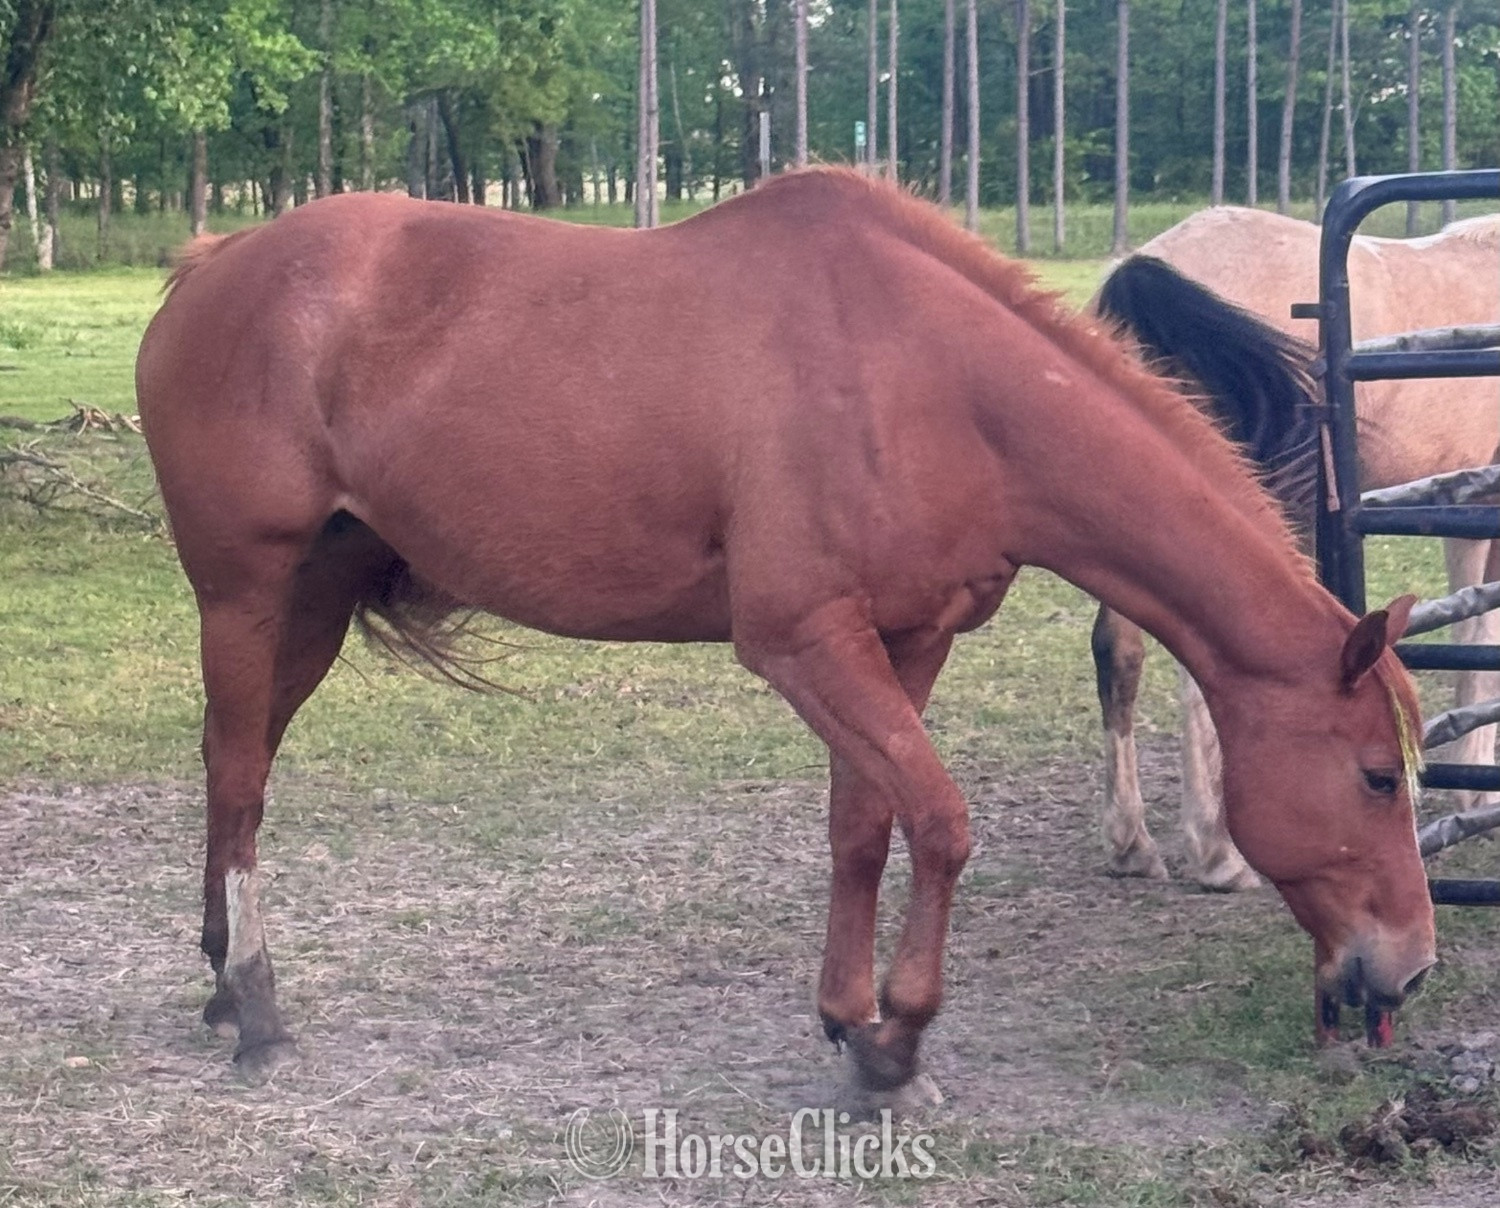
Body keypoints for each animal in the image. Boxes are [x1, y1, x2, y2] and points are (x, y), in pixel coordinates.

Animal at [135, 170, 1436, 1092]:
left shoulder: (905, 643)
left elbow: (866, 825)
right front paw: (900, 1035)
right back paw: (255, 1002)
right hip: (247, 591)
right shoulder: (802, 642)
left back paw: (218, 976)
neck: (929, 380)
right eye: (1378, 775)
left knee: (226, 764)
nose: (1410, 967)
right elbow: (940, 821)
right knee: (242, 775)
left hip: (312, 596)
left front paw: (851, 1023)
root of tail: (213, 264)